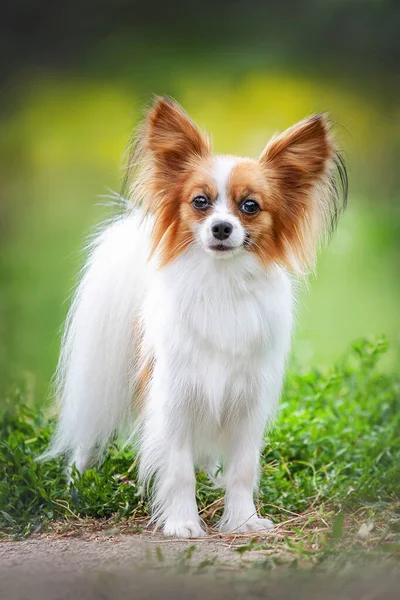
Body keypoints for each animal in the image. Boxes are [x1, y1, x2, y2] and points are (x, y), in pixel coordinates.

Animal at [43, 96, 348, 536]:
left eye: (250, 206)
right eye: (200, 202)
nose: (221, 228)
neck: (221, 284)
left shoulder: (247, 401)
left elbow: (242, 469)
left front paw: (243, 520)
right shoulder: (175, 397)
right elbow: (177, 469)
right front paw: (183, 523)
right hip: (105, 380)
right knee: (86, 438)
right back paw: (77, 486)